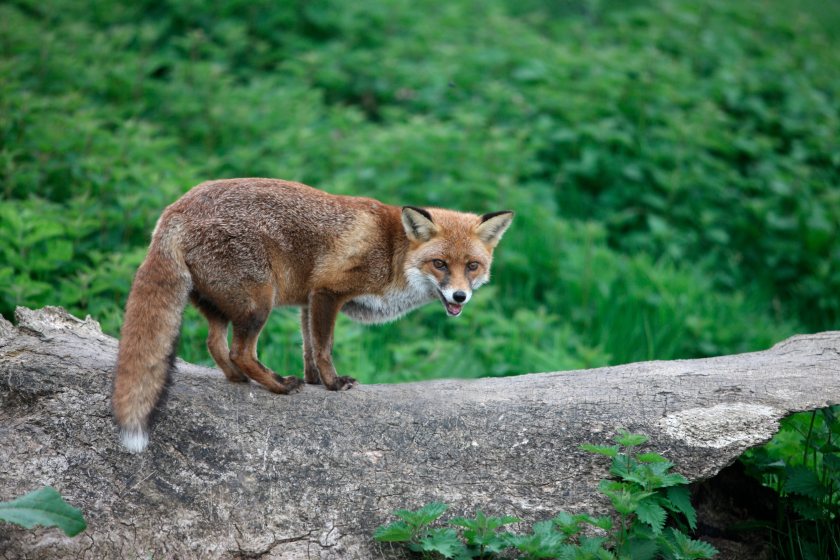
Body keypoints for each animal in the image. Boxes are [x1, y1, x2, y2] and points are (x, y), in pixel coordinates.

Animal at [111, 180, 512, 456]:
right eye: (440, 264)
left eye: (472, 266)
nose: (459, 296)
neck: (393, 253)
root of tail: (174, 211)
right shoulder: (327, 291)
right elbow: (324, 347)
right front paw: (333, 384)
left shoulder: (307, 301)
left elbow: (308, 348)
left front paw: (315, 381)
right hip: (260, 302)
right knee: (241, 350)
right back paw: (277, 385)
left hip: (228, 306)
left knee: (216, 345)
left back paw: (242, 379)